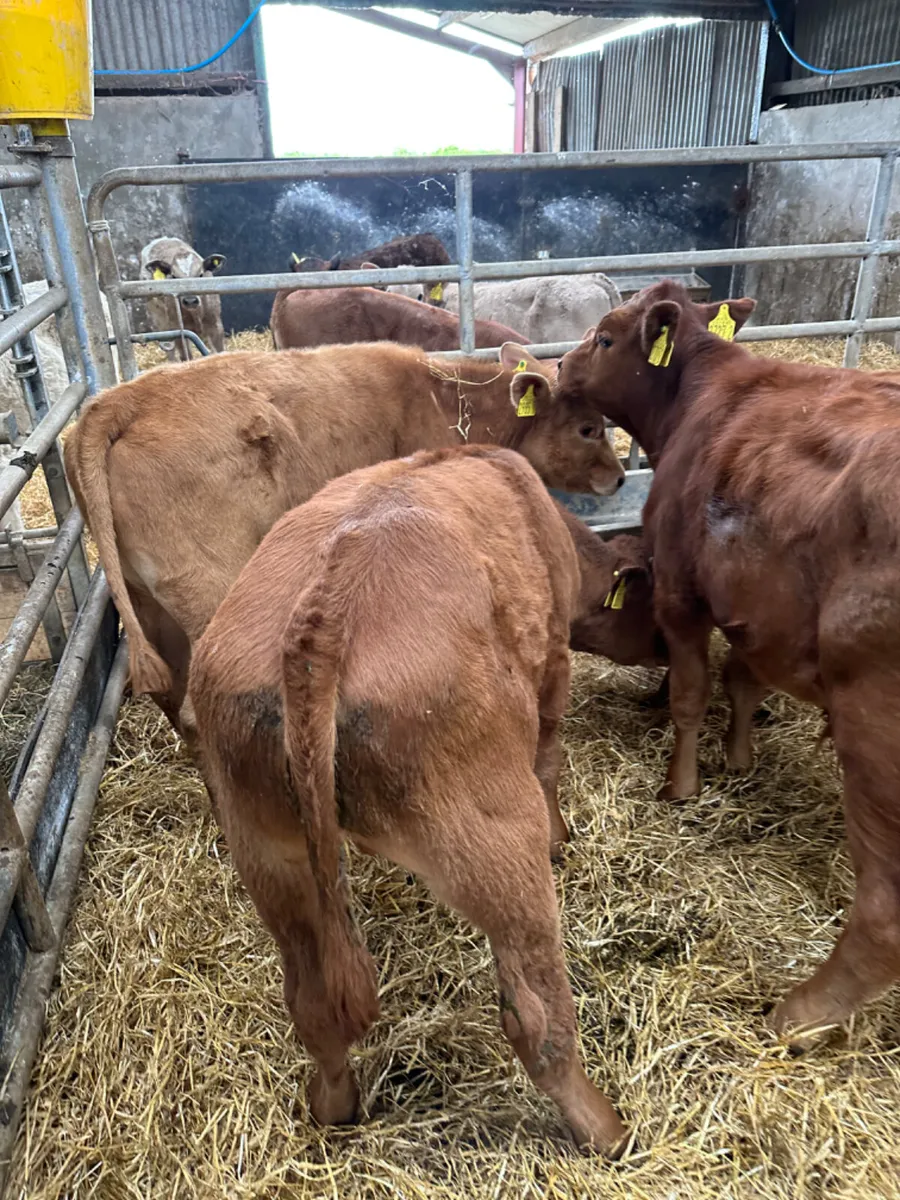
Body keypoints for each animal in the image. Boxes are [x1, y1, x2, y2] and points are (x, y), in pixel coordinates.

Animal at [64, 341, 624, 743]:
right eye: (589, 428)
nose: (620, 478)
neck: (447, 399)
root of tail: (120, 401)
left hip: (148, 600)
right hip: (208, 588)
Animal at [187, 444, 629, 1155]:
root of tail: (324, 609)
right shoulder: (555, 664)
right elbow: (550, 757)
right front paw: (563, 837)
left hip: (266, 851)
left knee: (314, 1005)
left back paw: (333, 1106)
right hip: (495, 841)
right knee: (537, 1018)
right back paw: (606, 1130)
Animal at [556, 277, 900, 1048]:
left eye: (604, 336)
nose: (559, 366)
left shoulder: (683, 591)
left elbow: (692, 691)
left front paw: (680, 785)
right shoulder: (754, 608)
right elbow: (742, 681)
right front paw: (740, 759)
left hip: (876, 736)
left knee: (884, 908)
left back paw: (799, 1015)